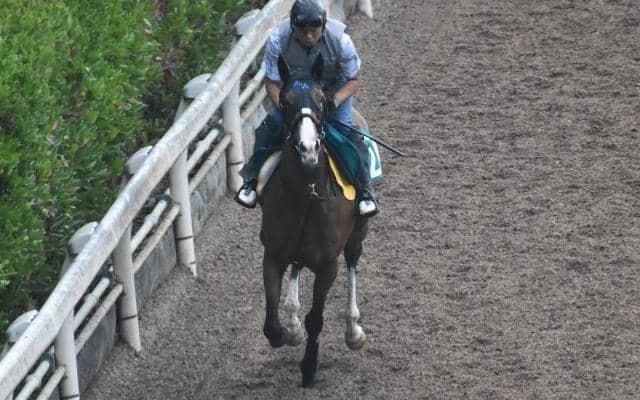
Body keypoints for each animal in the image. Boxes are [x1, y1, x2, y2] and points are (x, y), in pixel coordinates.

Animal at [257, 55, 368, 387]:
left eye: (321, 99)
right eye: (285, 100)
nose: (308, 149)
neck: (307, 198)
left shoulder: (328, 265)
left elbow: (316, 319)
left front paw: (309, 367)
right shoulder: (273, 254)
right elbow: (271, 323)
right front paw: (286, 331)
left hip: (358, 235)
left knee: (353, 263)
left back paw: (353, 331)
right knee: (296, 268)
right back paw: (292, 323)